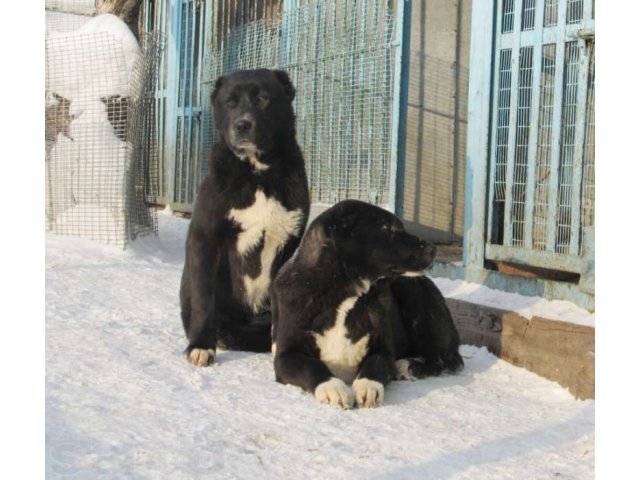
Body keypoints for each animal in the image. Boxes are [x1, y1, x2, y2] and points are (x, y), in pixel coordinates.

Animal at [180, 68, 310, 368]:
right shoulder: (205, 236)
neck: (258, 173)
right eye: (230, 102)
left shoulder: (288, 244)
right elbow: (204, 298)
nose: (242, 125)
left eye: (262, 99)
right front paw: (201, 346)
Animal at [272, 201, 464, 406]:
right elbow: (311, 366)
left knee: (440, 359)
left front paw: (368, 387)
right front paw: (332, 387)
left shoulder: (383, 351)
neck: (344, 294)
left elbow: (375, 365)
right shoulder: (286, 356)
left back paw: (407, 365)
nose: (433, 249)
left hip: (414, 296)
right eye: (387, 228)